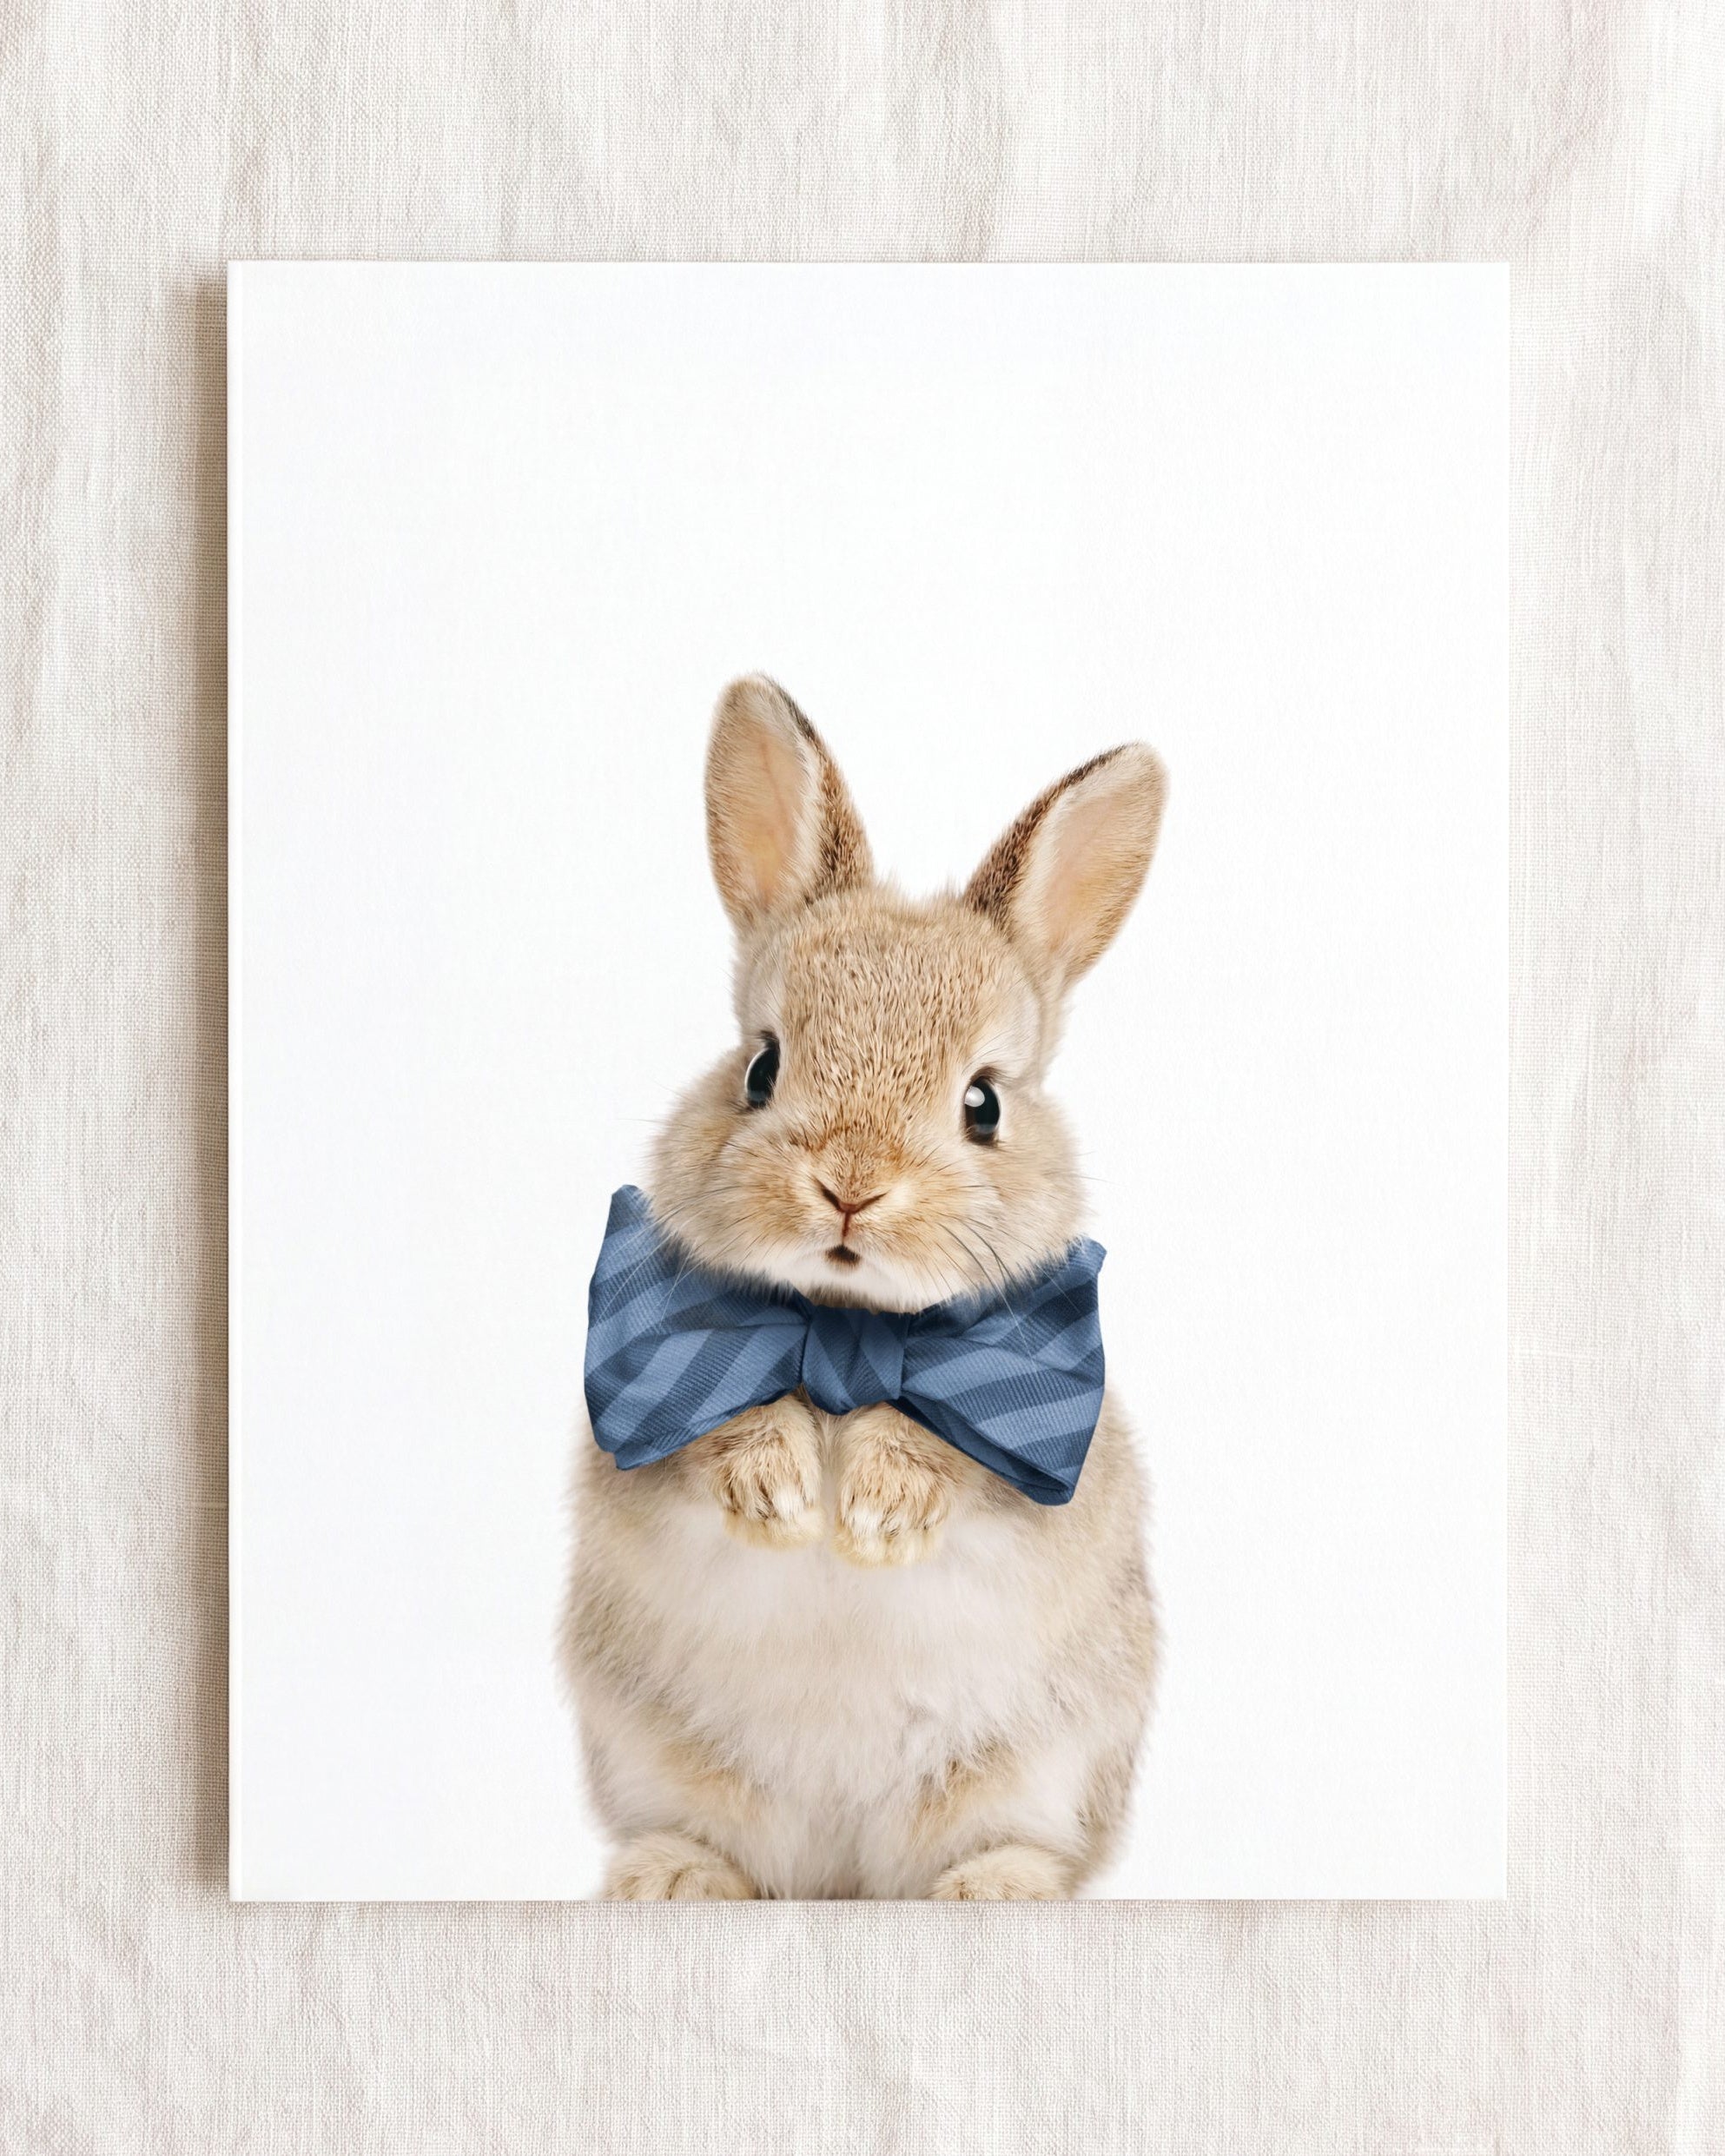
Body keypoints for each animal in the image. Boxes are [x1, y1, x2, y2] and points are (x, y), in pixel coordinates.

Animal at [564, 675, 1166, 1899]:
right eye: (761, 1066)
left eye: (984, 1104)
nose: (850, 1187)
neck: (846, 1330)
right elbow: (716, 1426)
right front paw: (785, 1499)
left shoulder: (1040, 1439)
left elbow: (954, 1453)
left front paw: (877, 1513)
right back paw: (671, 1878)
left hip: (1033, 1773)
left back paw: (994, 1891)